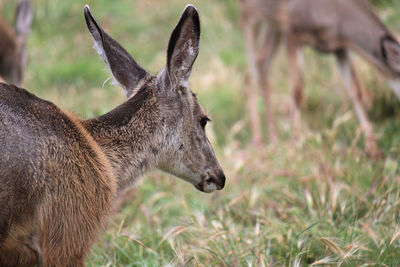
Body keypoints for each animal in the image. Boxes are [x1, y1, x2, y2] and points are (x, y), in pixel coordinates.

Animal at [239, 0, 400, 159]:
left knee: (261, 64)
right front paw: (295, 145)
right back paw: (257, 141)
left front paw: (373, 149)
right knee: (251, 72)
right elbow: (298, 91)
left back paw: (274, 138)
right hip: (250, 13)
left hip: (273, 24)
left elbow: (356, 91)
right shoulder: (292, 30)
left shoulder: (339, 48)